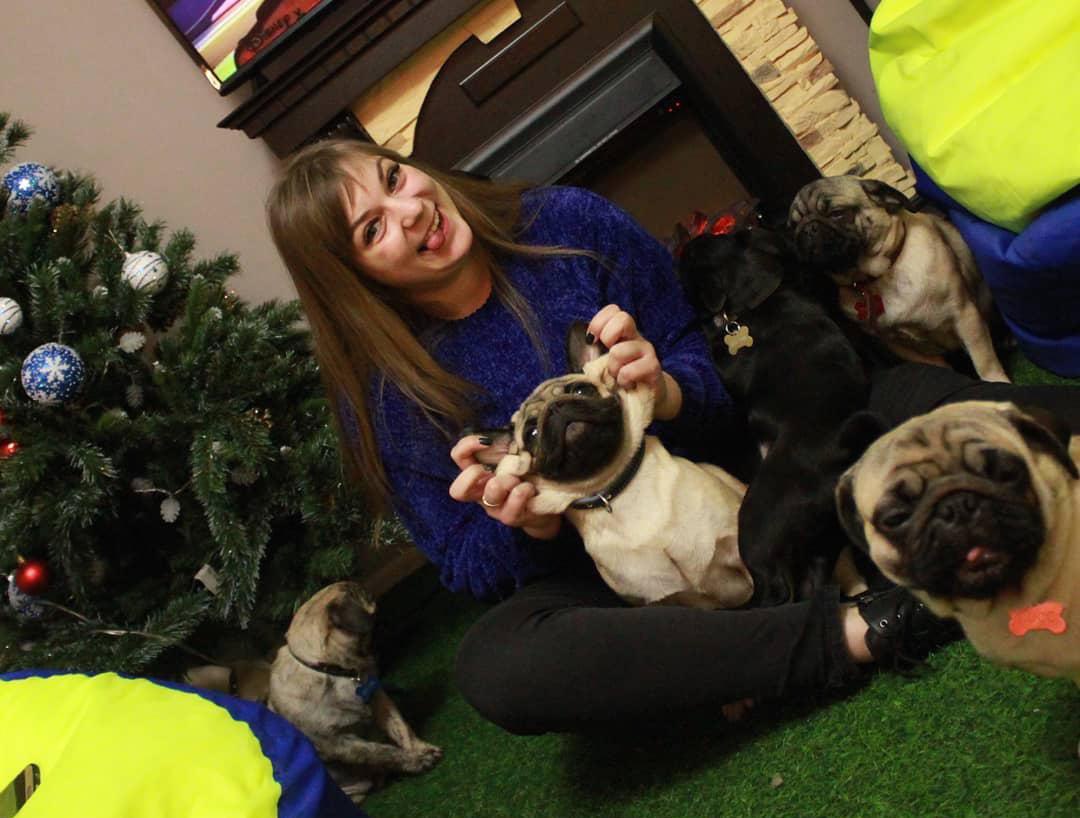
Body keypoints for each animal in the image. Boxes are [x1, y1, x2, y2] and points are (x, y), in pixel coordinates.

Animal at [267, 582, 441, 802]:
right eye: (366, 598)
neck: (331, 670)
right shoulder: (341, 743)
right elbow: (384, 752)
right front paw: (416, 761)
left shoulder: (380, 702)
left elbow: (402, 729)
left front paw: (420, 749)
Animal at [677, 226, 881, 605]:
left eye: (690, 257)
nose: (680, 247)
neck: (754, 299)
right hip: (822, 547)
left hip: (757, 530)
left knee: (777, 589)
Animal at [788, 176, 1009, 383]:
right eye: (792, 227)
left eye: (837, 213)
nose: (807, 228)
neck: (879, 276)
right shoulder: (898, 345)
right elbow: (939, 367)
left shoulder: (965, 315)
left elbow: (984, 362)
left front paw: (997, 382)